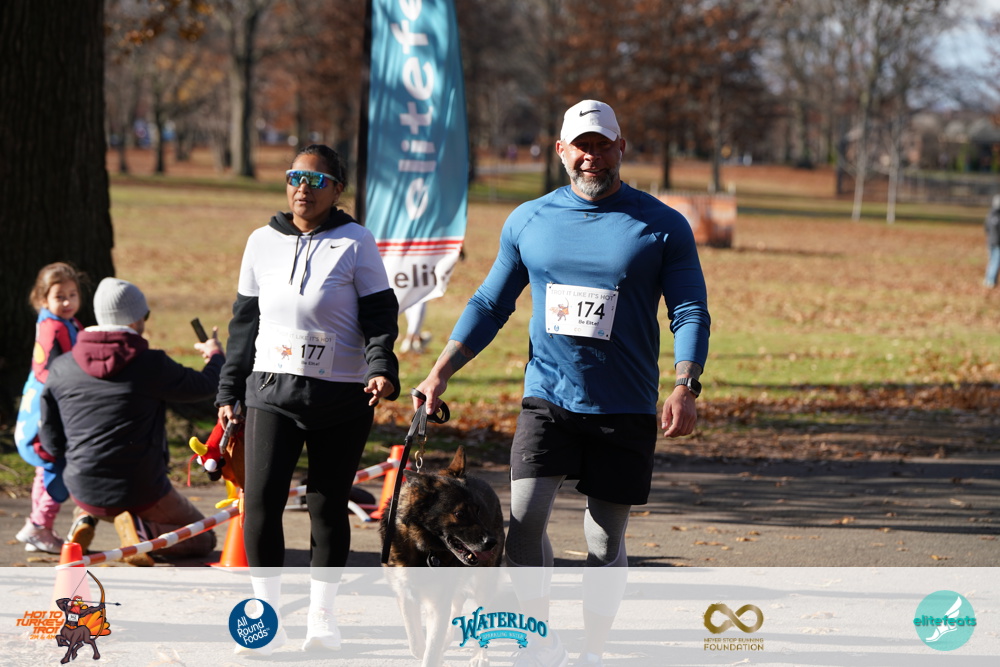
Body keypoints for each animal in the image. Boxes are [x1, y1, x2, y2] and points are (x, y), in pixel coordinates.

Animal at [380, 446, 505, 667]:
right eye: (460, 514)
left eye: (478, 510)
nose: (492, 542)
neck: (421, 546)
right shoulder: (405, 596)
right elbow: (416, 643)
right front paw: (427, 650)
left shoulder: (437, 604)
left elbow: (430, 650)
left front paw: (433, 655)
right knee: (457, 602)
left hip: (484, 583)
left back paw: (479, 655)